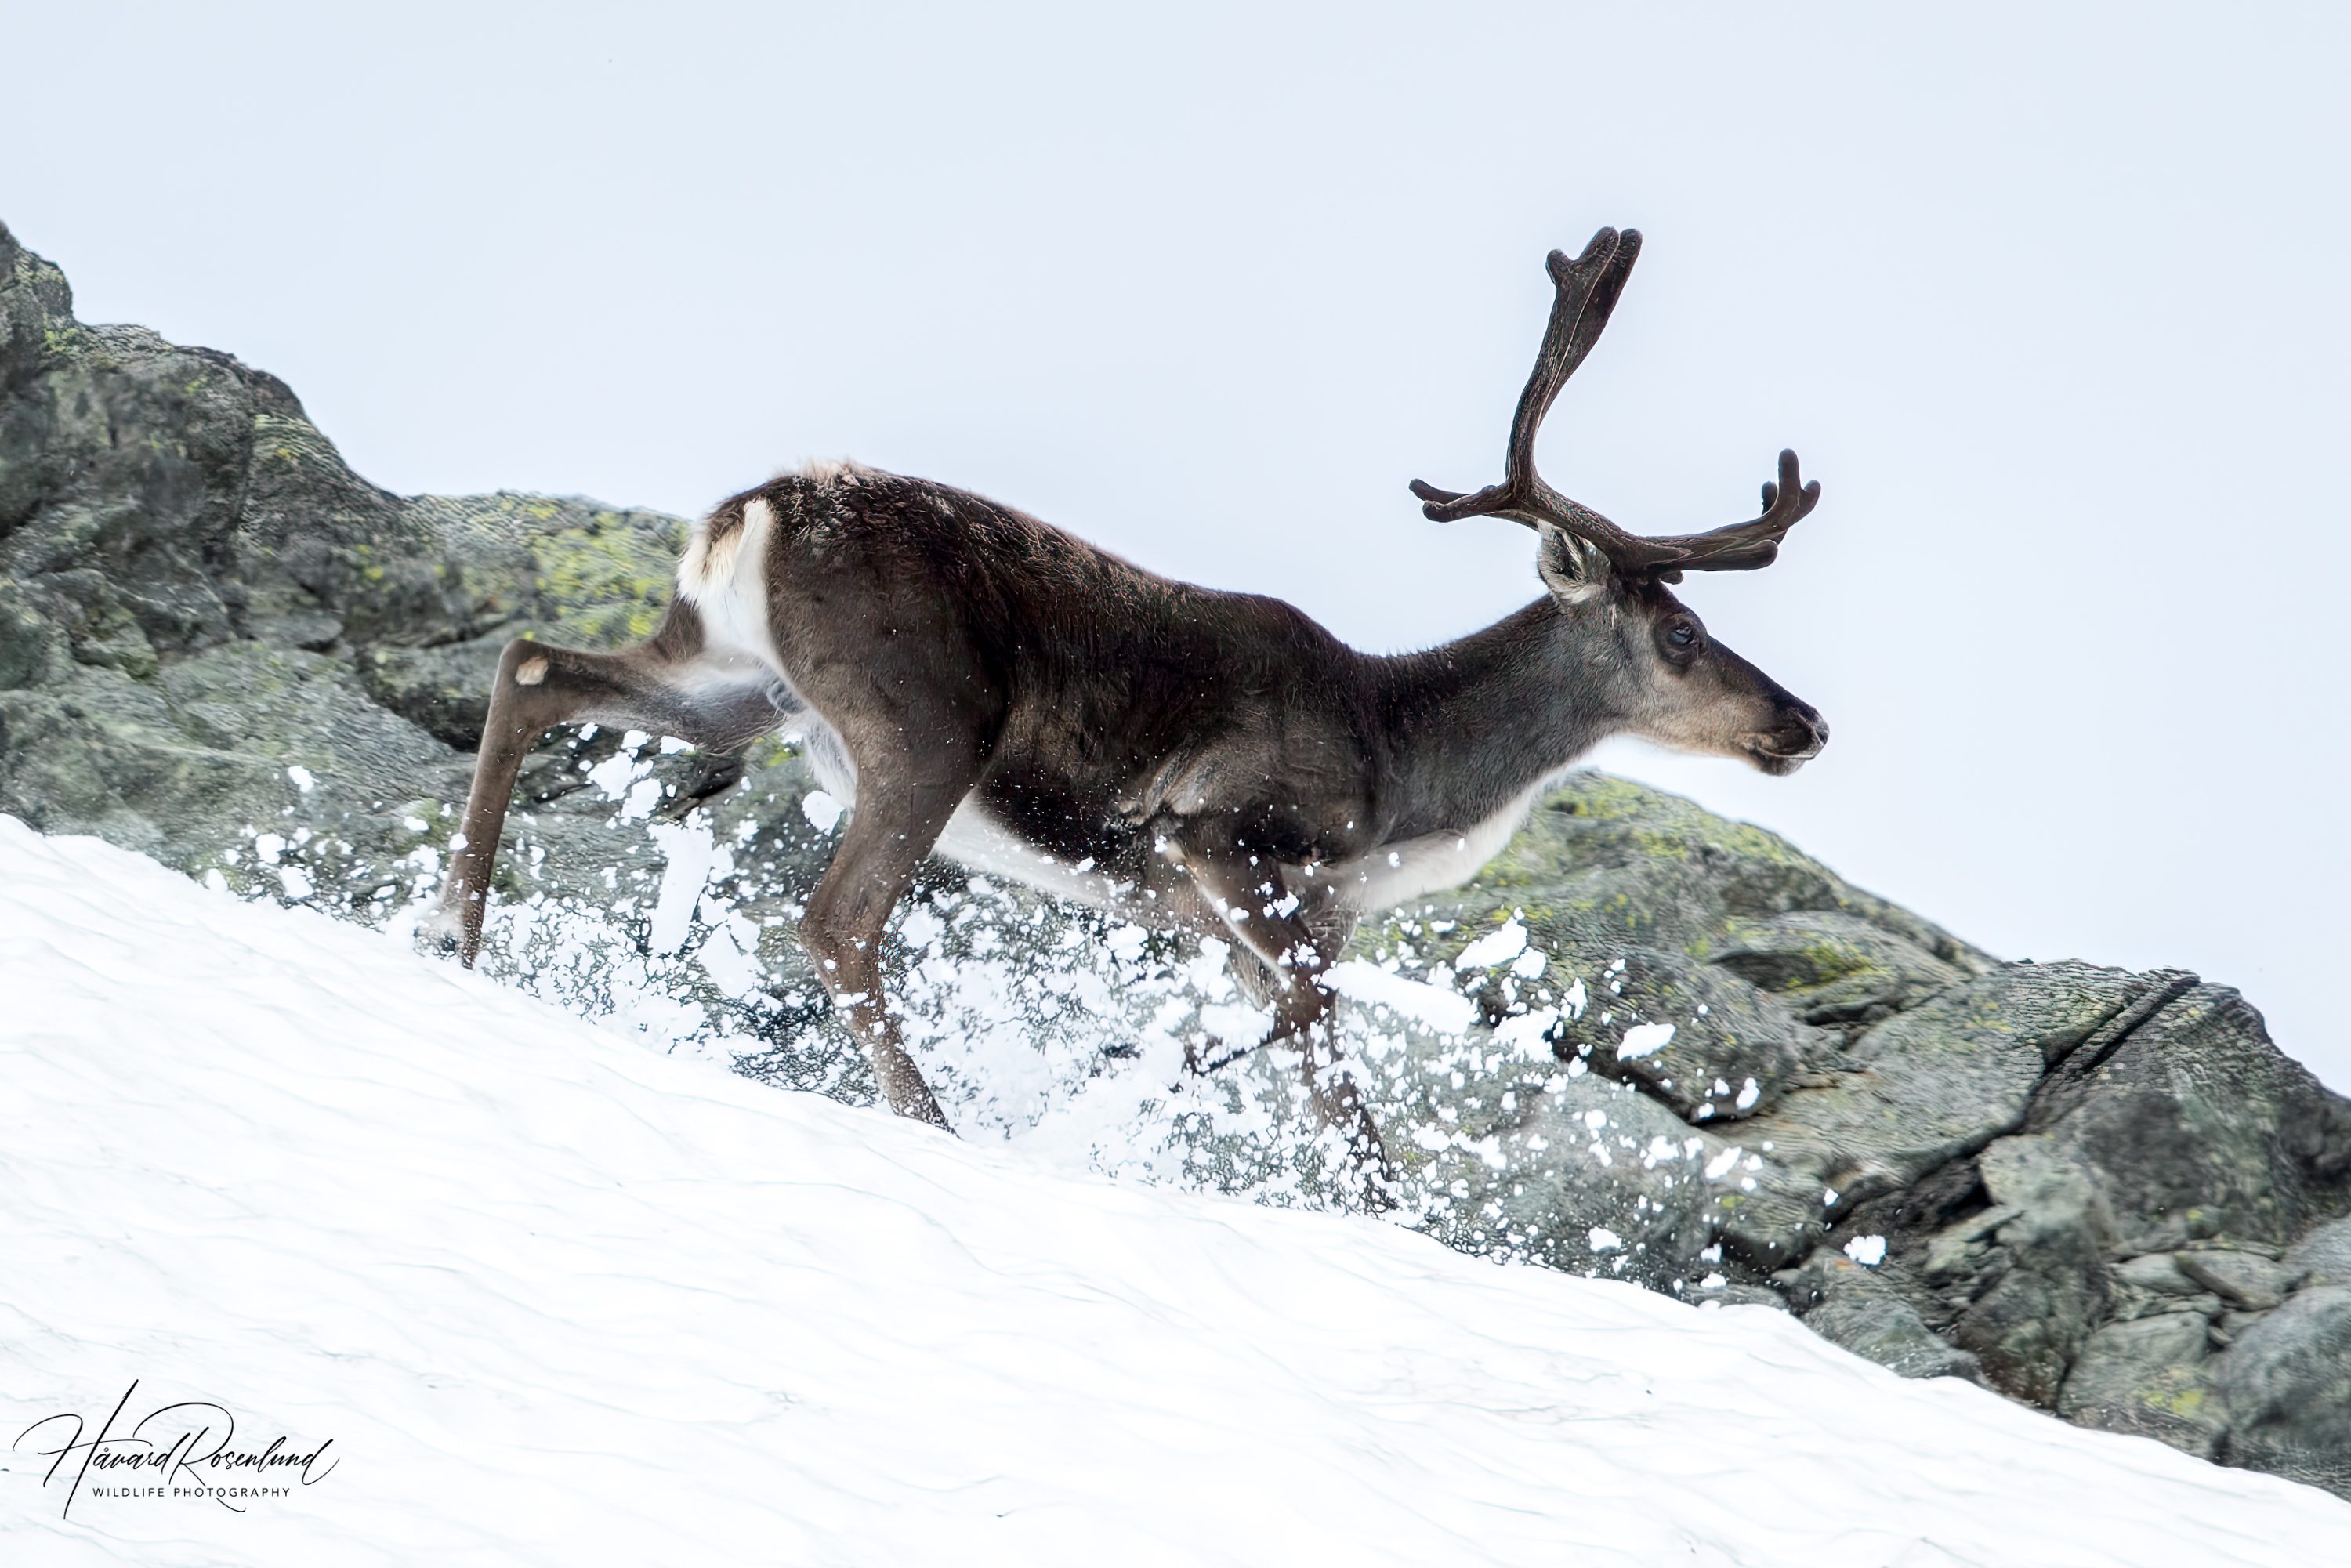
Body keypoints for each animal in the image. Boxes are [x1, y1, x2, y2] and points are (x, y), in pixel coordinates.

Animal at [430, 227, 1828, 1208]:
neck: (1404, 777)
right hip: (927, 723)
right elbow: (1321, 1051)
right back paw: (936, 1122)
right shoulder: (1224, 837)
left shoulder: (1230, 919)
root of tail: (755, 509)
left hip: (734, 680)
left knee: (535, 664)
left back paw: (454, 937)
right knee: (837, 919)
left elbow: (1279, 1056)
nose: (1806, 722)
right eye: (1682, 634)